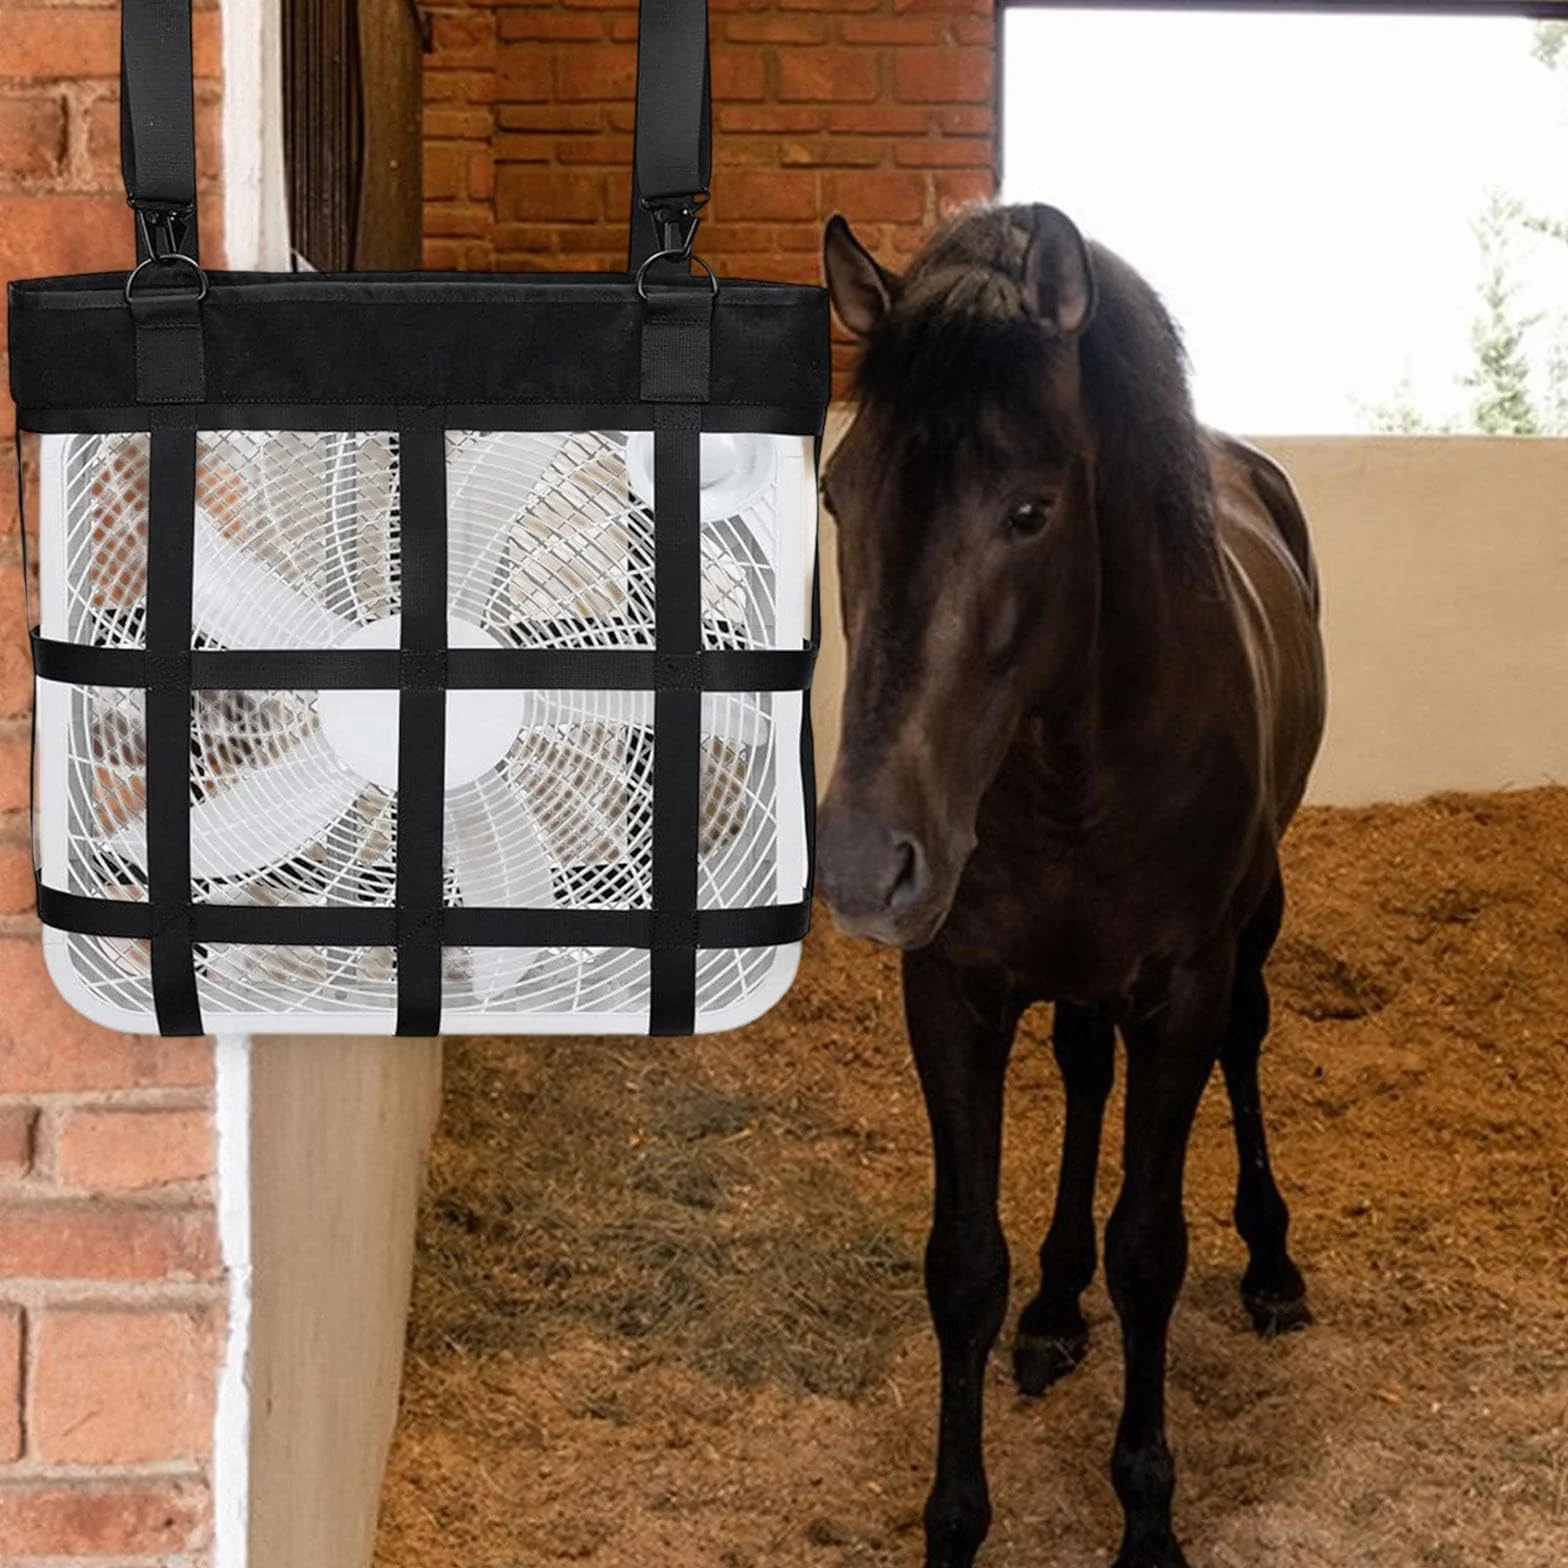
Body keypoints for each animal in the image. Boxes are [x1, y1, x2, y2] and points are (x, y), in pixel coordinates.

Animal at [814, 202, 1327, 1568]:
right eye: (835, 491)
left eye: (1030, 510)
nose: (863, 861)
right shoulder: (952, 990)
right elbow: (961, 1264)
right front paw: (953, 1521)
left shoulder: (1179, 989)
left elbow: (1149, 1248)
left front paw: (1145, 1514)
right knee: (1084, 1074)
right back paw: (1054, 1301)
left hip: (1248, 928)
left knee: (1245, 1045)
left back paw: (1271, 1263)